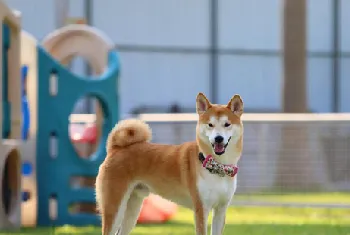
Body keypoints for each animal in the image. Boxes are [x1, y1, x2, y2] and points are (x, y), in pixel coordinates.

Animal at [95, 92, 243, 234]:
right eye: (210, 125)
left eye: (227, 124)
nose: (218, 138)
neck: (218, 166)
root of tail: (116, 148)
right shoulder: (201, 209)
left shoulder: (221, 210)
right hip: (114, 208)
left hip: (132, 209)